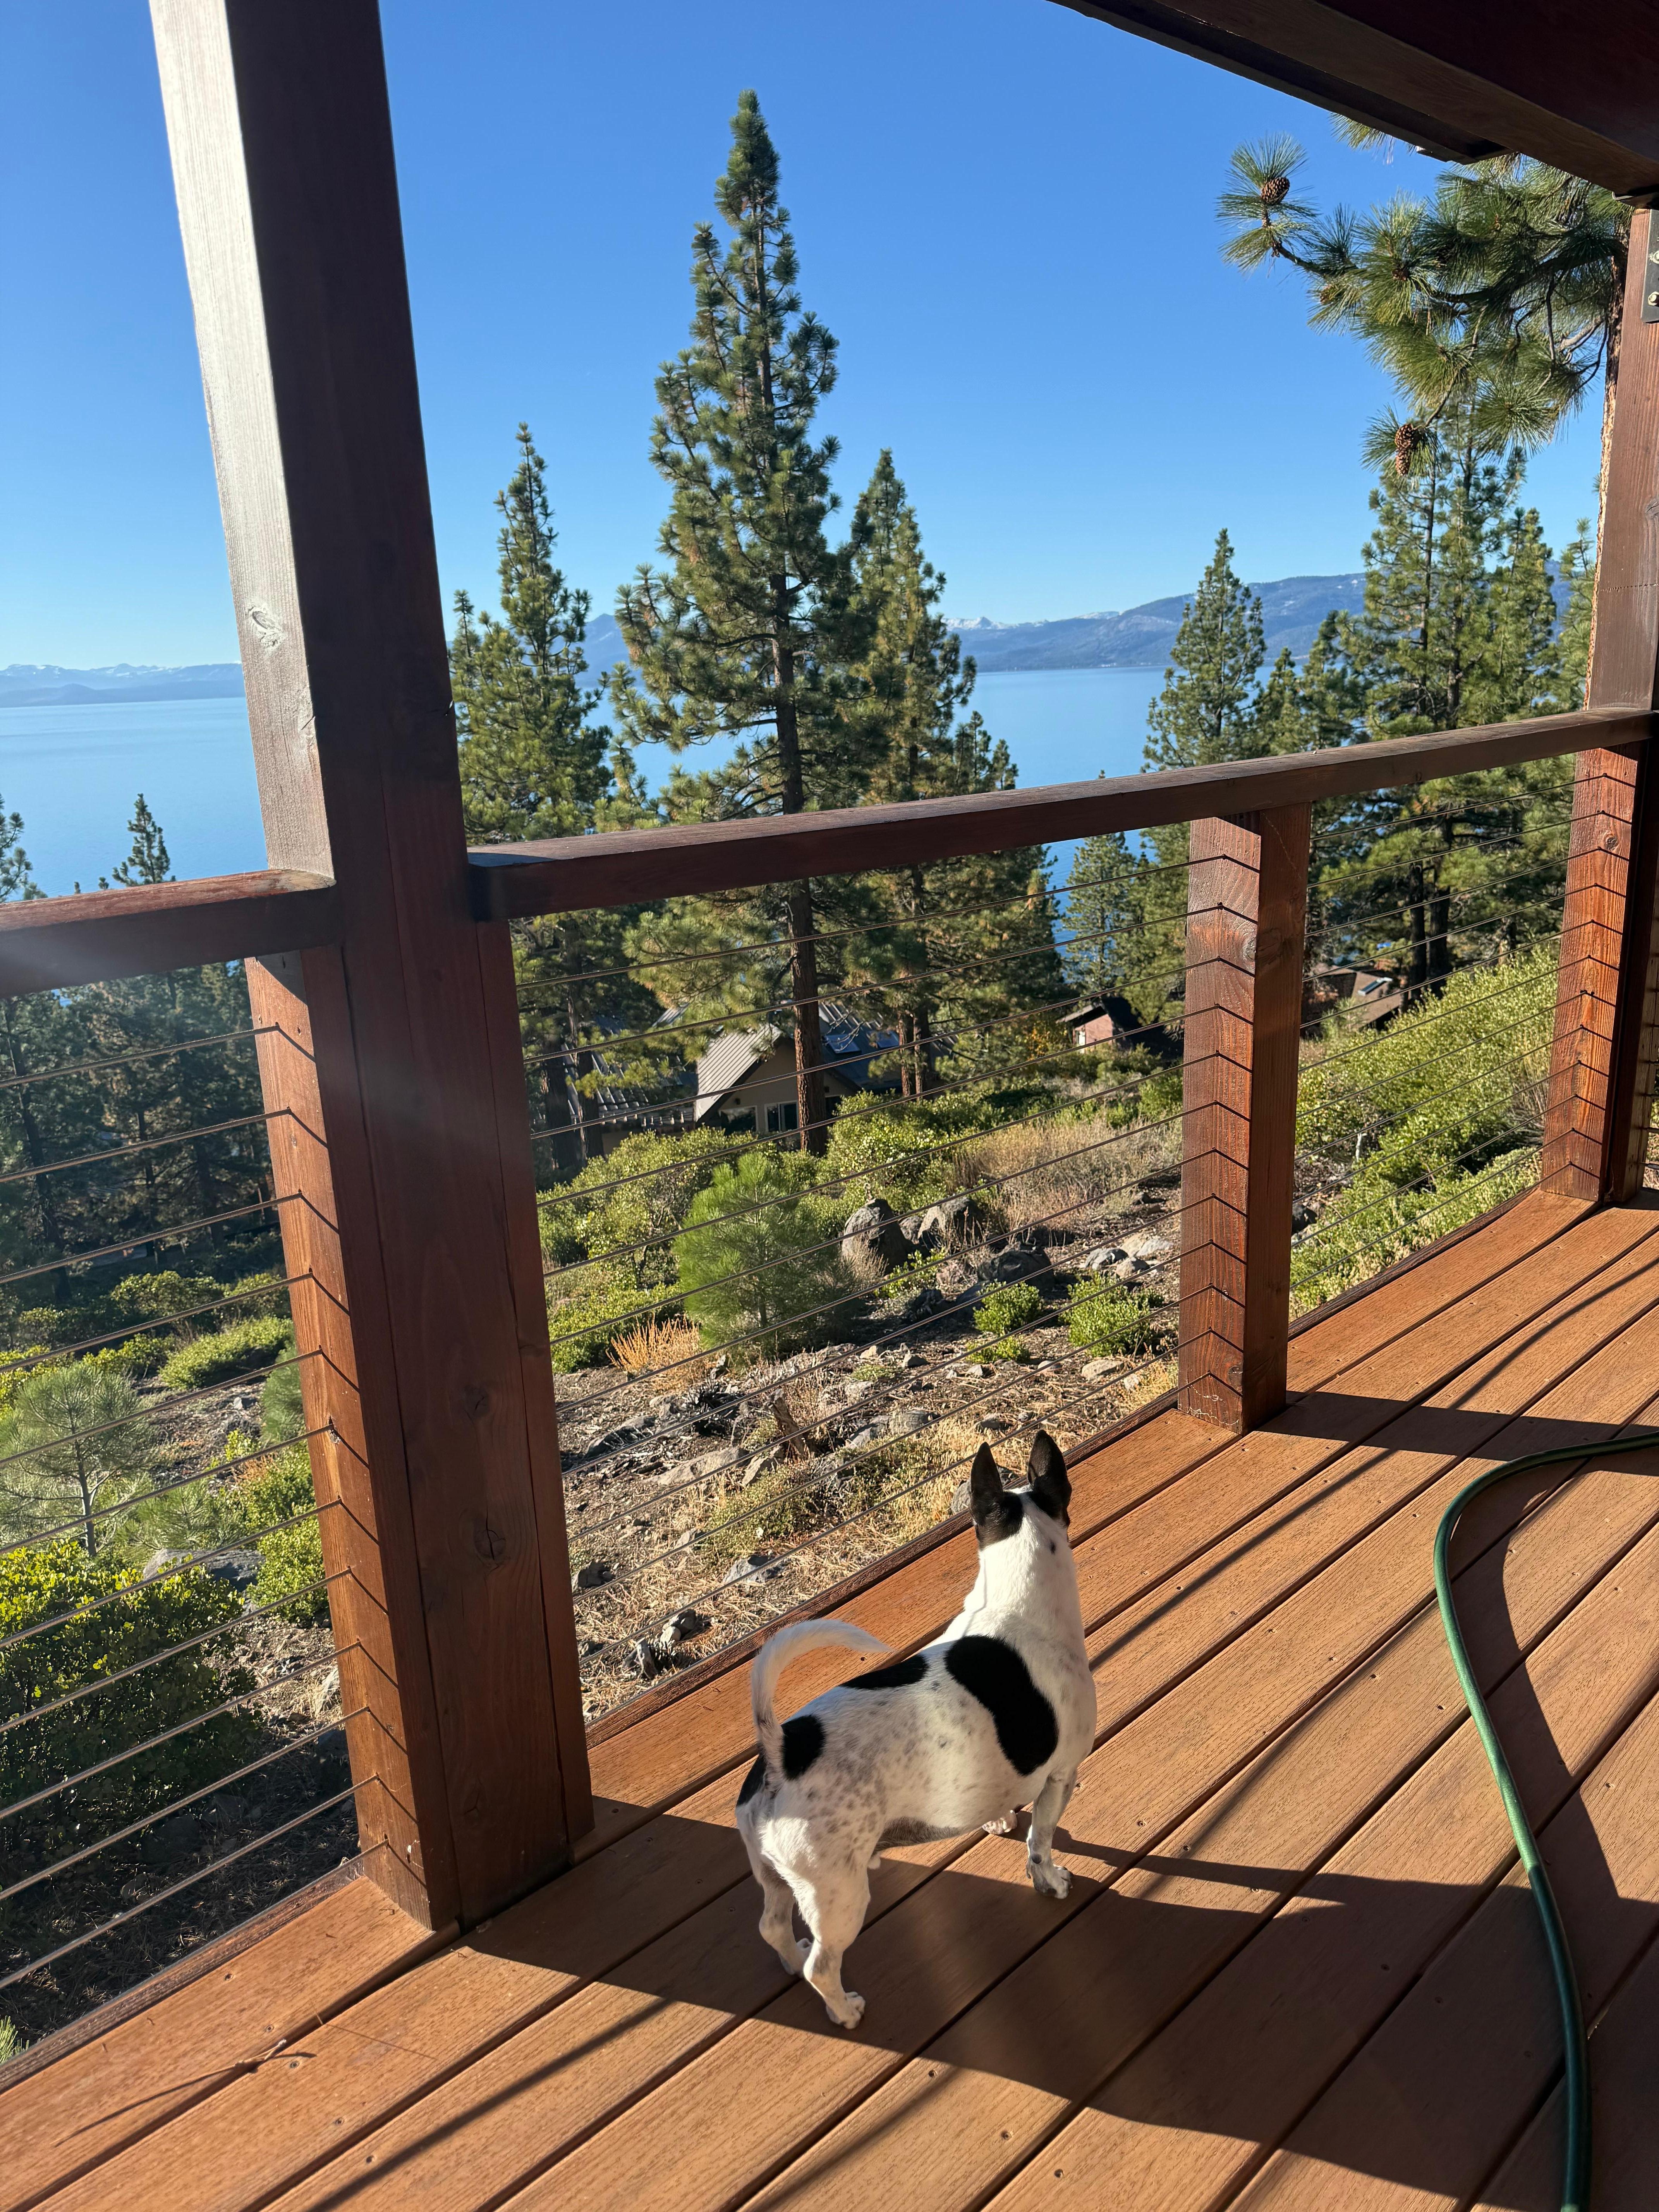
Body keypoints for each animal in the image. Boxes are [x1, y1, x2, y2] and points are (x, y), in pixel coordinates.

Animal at [734, 1429, 1095, 2028]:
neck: (1013, 1604)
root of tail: (782, 1752)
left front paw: (996, 1820)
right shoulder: (1062, 1776)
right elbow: (1041, 1844)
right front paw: (1050, 1880)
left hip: (775, 1875)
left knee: (771, 1927)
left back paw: (790, 1958)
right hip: (839, 1896)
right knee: (822, 1967)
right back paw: (844, 2009)